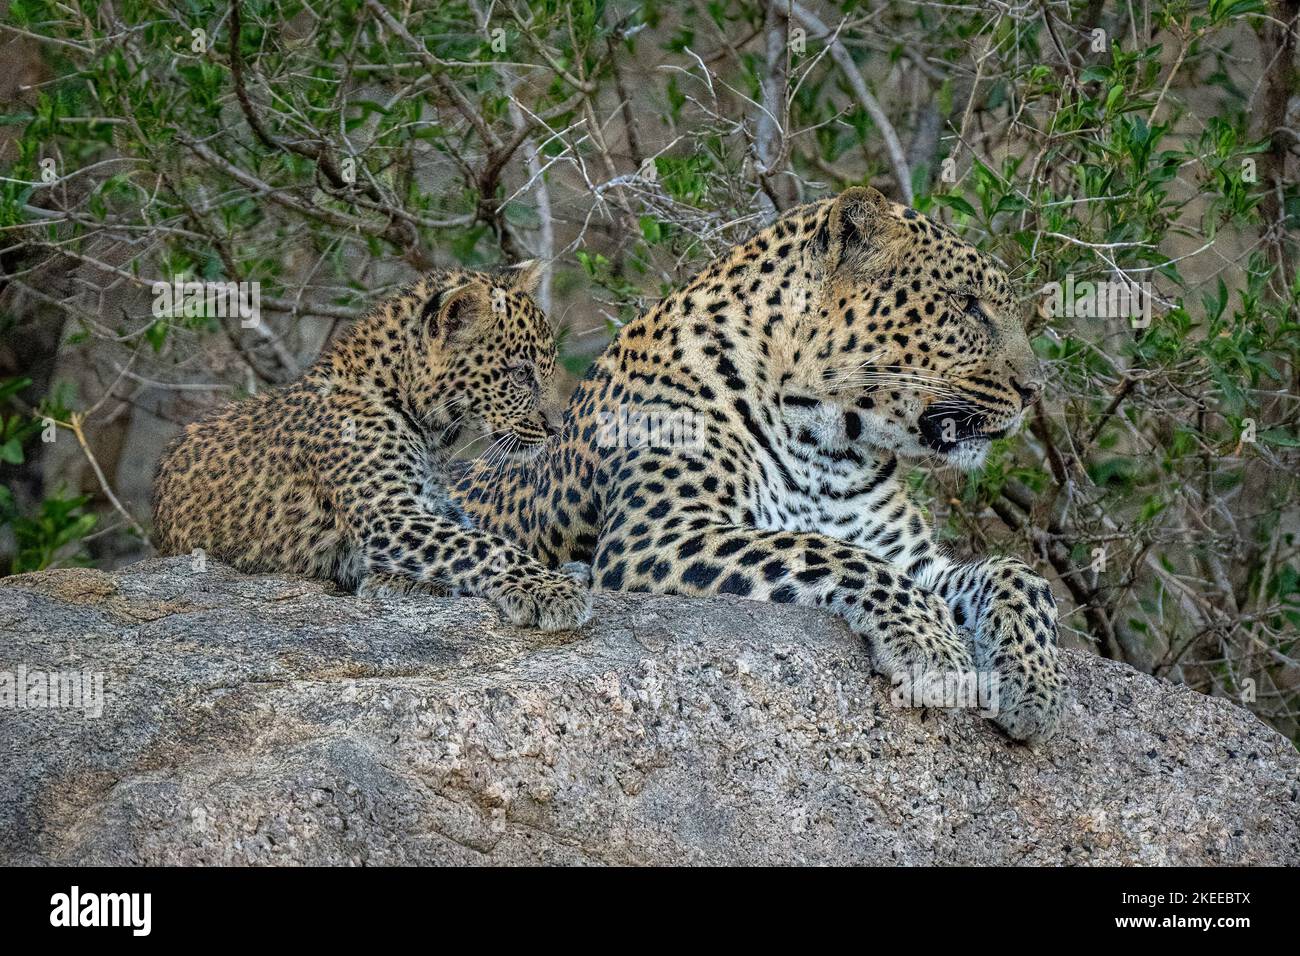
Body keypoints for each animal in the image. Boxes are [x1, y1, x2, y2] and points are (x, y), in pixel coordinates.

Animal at [152, 263, 592, 631]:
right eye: (521, 374)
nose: (556, 428)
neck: (430, 431)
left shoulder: (435, 504)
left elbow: (475, 533)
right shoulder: (388, 513)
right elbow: (481, 544)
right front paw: (552, 591)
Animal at [453, 187, 1064, 742]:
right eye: (967, 305)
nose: (1035, 390)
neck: (829, 447)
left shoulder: (914, 558)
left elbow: (1018, 574)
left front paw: (1036, 687)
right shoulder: (657, 535)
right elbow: (828, 551)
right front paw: (933, 645)